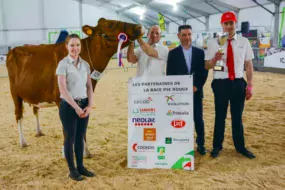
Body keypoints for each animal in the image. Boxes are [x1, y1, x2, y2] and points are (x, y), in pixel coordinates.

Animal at [5, 18, 141, 157]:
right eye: (110, 24)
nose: (139, 27)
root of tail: (13, 50)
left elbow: (82, 126)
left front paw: (86, 152)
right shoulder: (61, 100)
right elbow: (67, 129)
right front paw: (68, 153)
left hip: (34, 92)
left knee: (35, 109)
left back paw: (39, 132)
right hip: (14, 93)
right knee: (18, 115)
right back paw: (23, 142)